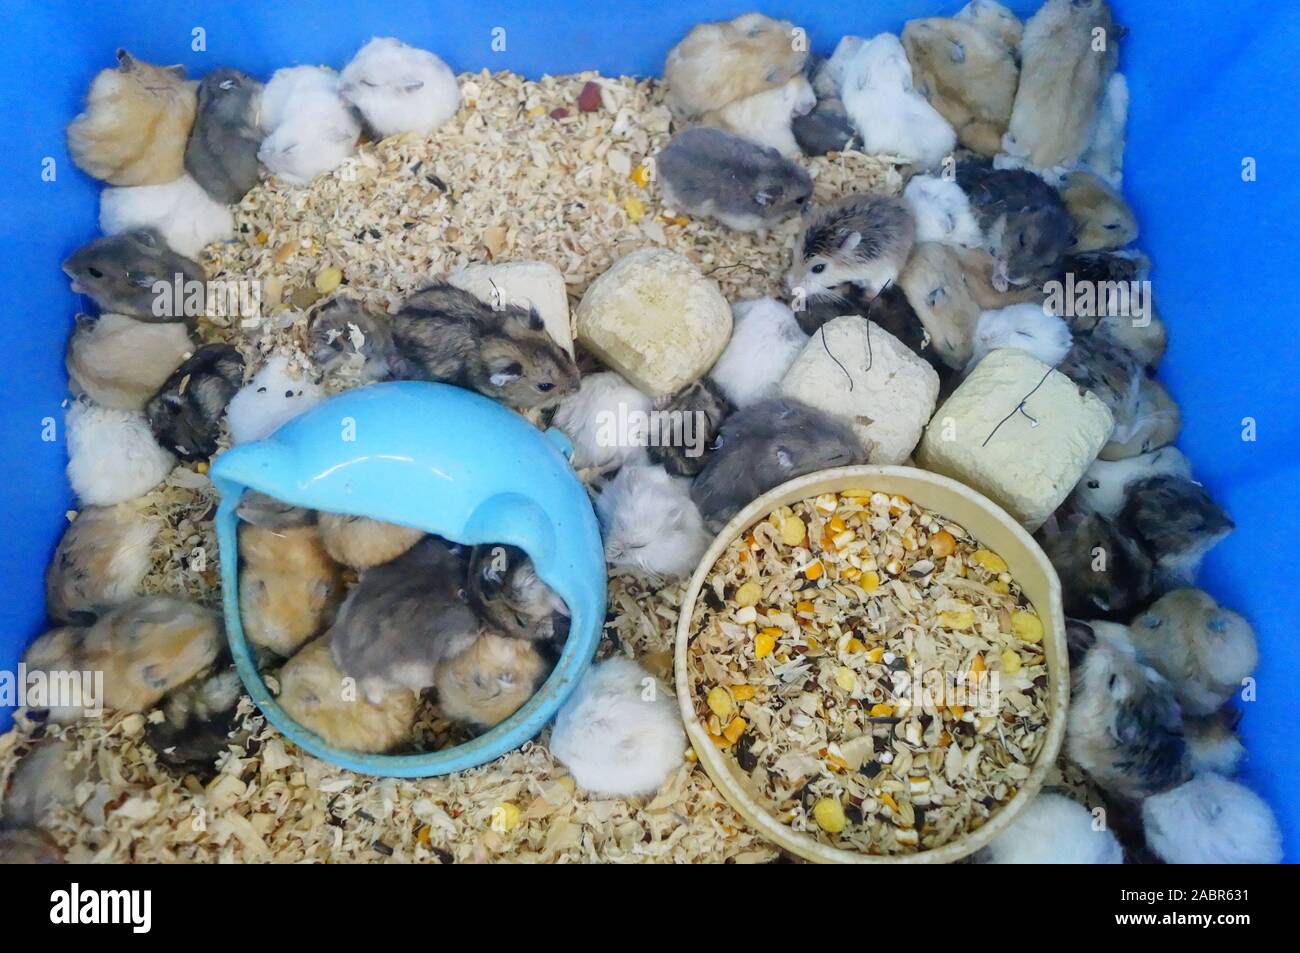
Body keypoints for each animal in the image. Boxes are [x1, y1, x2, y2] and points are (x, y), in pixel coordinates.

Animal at [956, 161, 1074, 289]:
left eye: (1048, 265)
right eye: (1021, 239)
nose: (1011, 277)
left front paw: (1002, 285)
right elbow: (996, 258)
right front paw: (1001, 285)